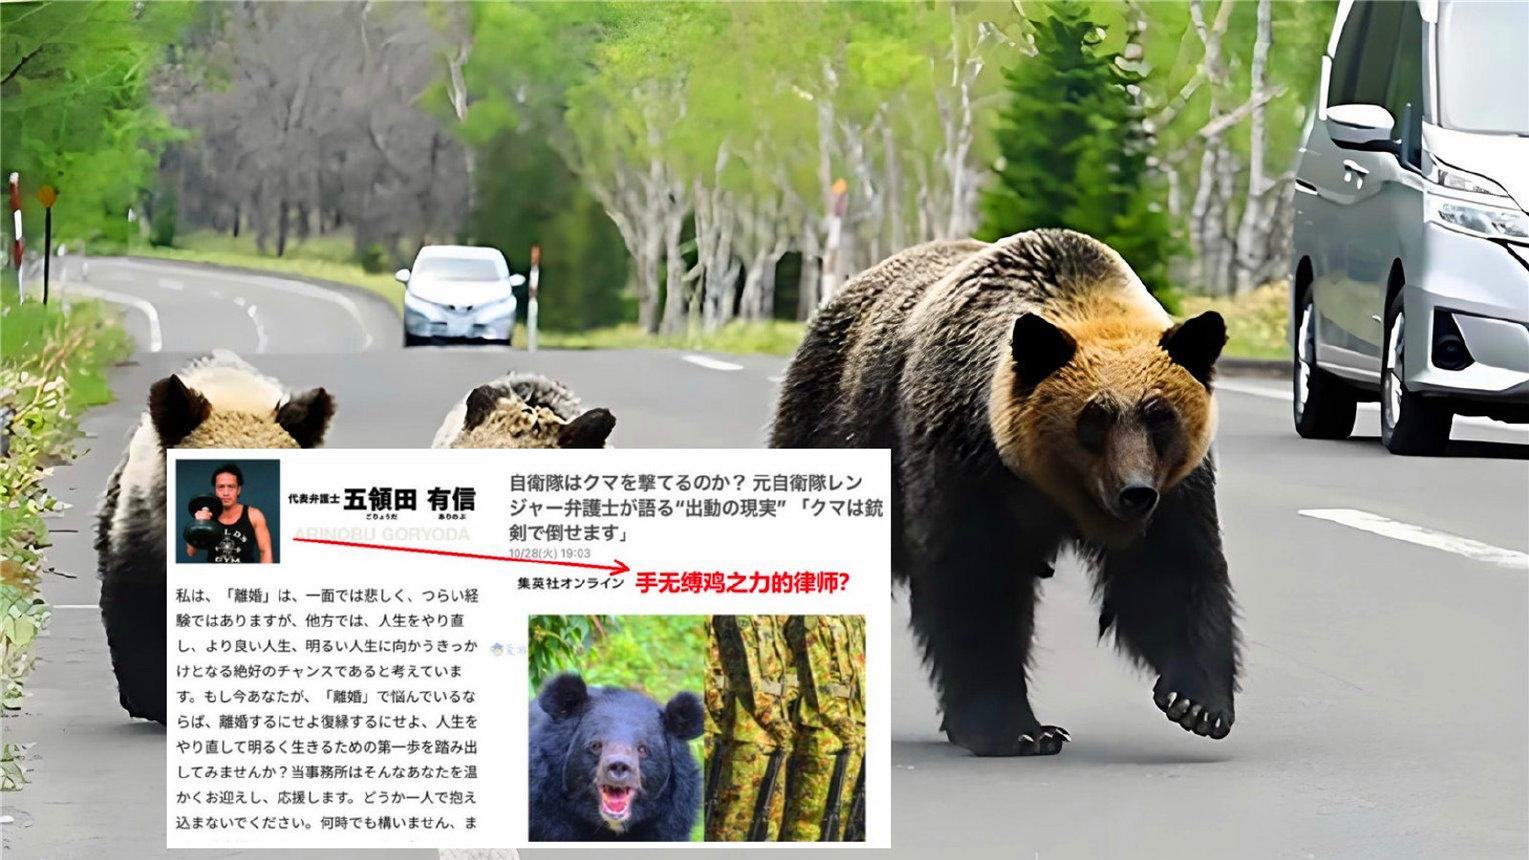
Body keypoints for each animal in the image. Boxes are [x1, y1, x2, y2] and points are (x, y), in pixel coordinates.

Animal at [770, 229, 1239, 757]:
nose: (1134, 492)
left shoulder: (1176, 486)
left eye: (1160, 415)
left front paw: (1196, 703)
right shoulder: (962, 457)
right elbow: (976, 582)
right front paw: (1018, 729)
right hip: (837, 423)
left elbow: (1169, 569)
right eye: (1094, 417)